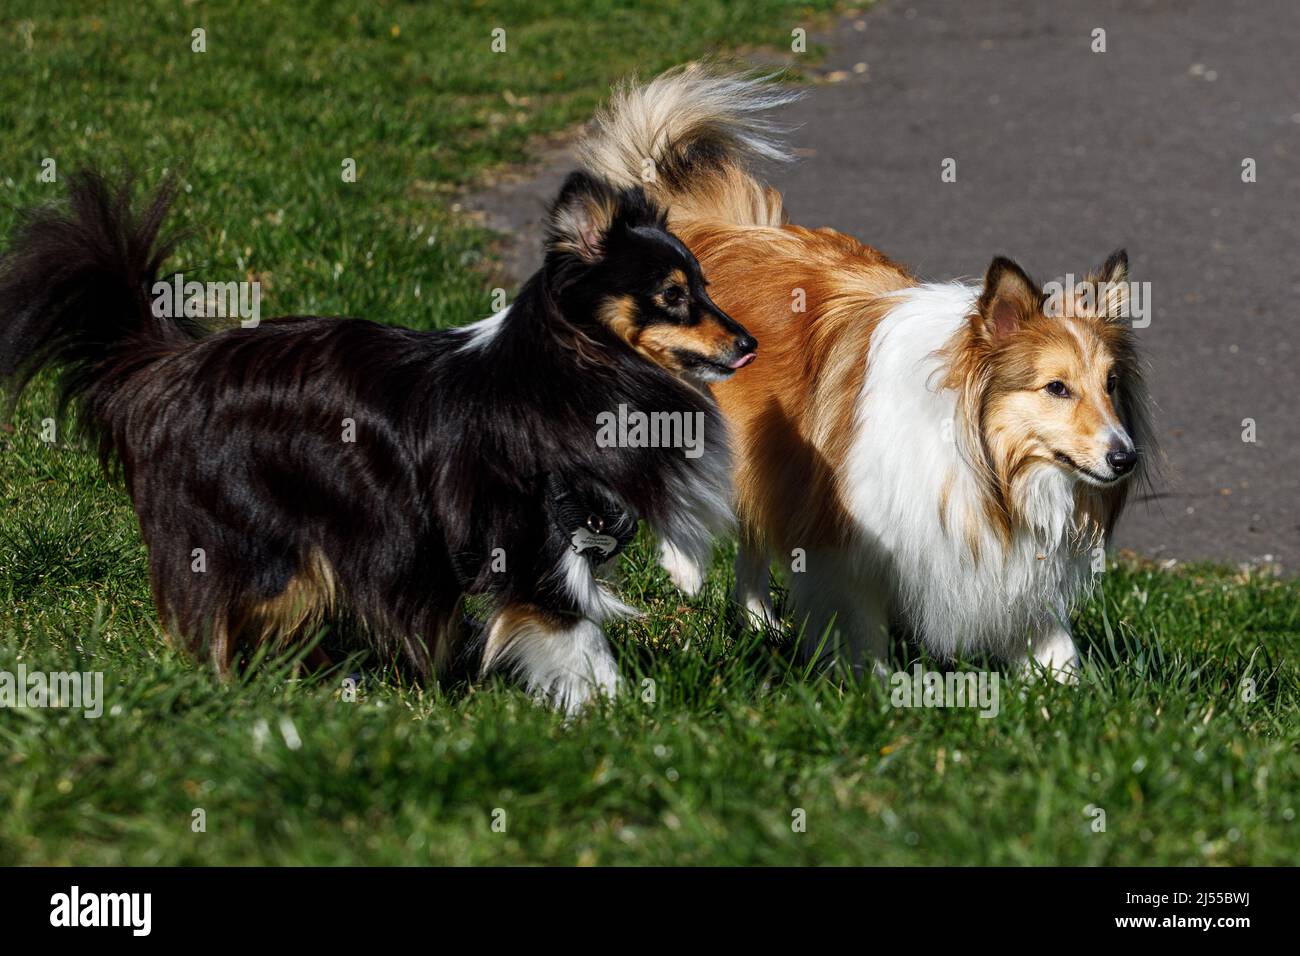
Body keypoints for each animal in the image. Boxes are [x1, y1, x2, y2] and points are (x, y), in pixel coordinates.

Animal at [585, 67, 1154, 681]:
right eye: (1056, 387)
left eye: (1111, 384)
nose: (1125, 458)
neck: (981, 459)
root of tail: (725, 230)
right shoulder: (847, 548)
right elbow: (862, 634)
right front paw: (873, 689)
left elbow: (1055, 648)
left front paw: (1067, 690)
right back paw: (682, 570)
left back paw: (760, 623)